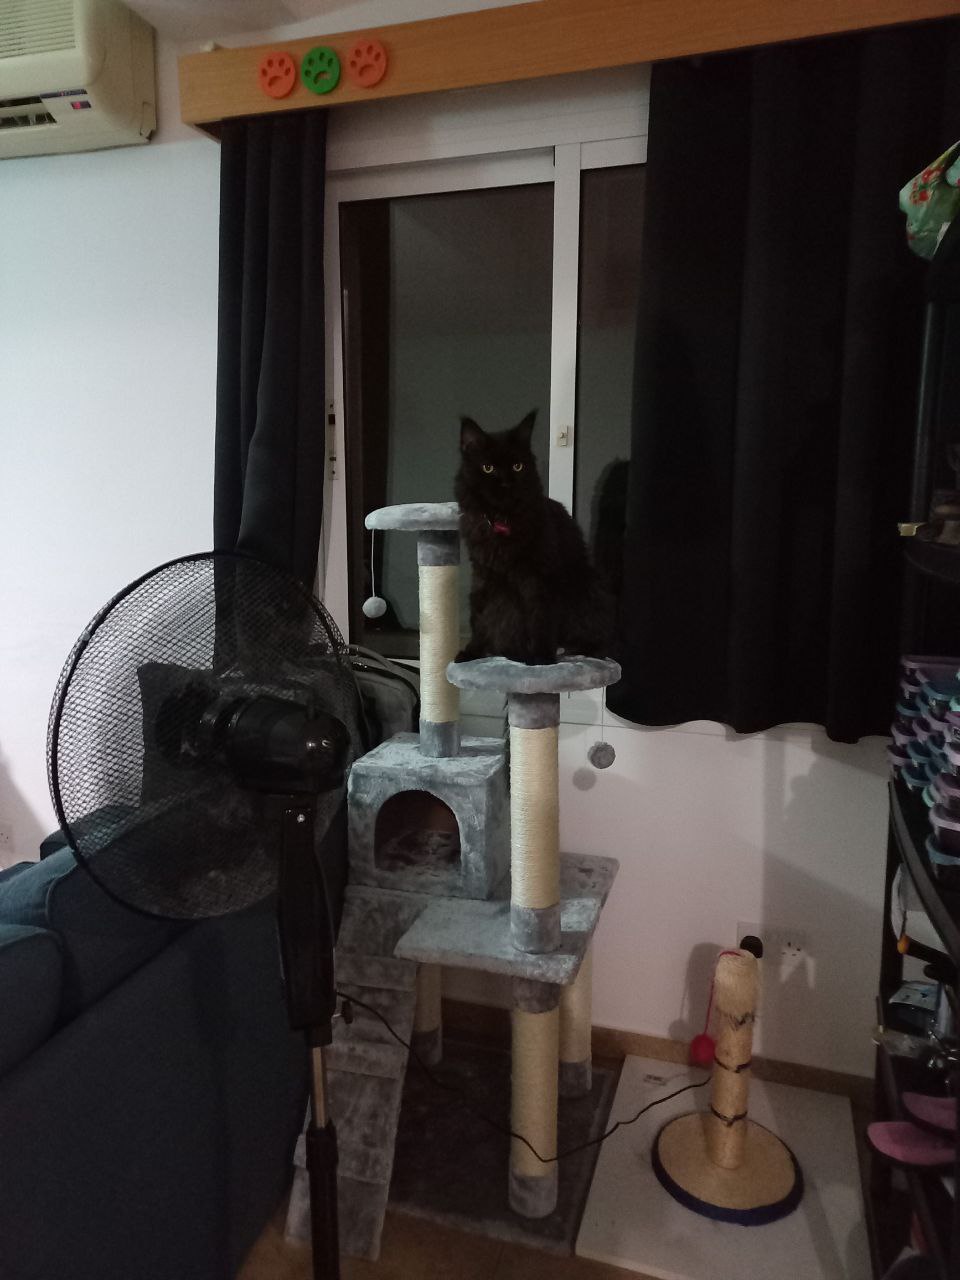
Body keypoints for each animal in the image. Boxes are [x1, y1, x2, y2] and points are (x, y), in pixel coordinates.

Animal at [454, 410, 612, 665]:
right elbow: (480, 617)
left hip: (588, 587)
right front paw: (472, 652)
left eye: (517, 466)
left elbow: (540, 618)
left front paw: (540, 658)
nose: (506, 483)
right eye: (488, 468)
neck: (502, 522)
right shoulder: (483, 574)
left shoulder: (538, 578)